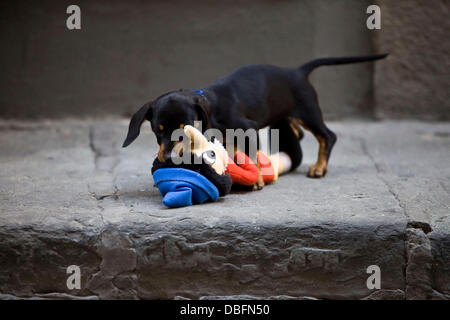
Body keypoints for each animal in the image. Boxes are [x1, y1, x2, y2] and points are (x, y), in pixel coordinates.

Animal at [122, 53, 386, 189]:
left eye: (184, 131)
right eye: (158, 130)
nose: (167, 159)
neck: (209, 103)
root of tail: (298, 72)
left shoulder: (247, 128)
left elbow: (252, 156)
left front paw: (256, 179)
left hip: (308, 110)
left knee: (328, 136)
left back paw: (320, 167)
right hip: (289, 113)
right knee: (299, 131)